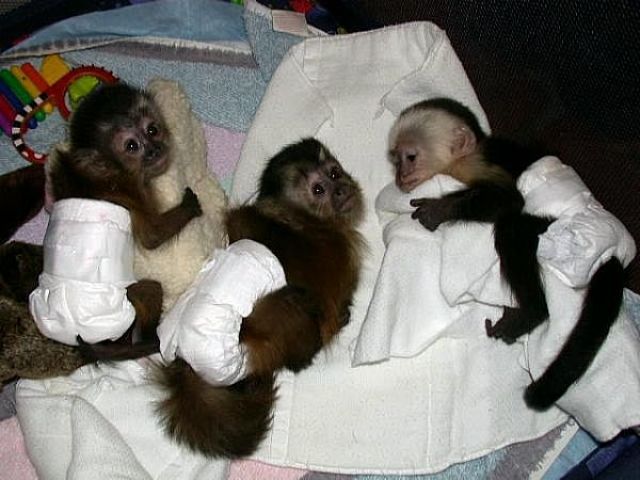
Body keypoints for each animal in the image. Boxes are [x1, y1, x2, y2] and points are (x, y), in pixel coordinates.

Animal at [154, 137, 365, 458]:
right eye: (319, 190)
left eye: (333, 172)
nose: (341, 187)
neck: (303, 220)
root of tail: (189, 362)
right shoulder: (336, 252)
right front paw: (341, 316)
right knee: (295, 303)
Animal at [388, 97, 625, 410]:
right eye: (395, 160)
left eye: (411, 157)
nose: (400, 176)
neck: (464, 160)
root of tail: (612, 251)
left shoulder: (477, 163)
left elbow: (510, 199)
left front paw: (440, 209)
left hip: (562, 227)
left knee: (511, 229)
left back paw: (532, 313)